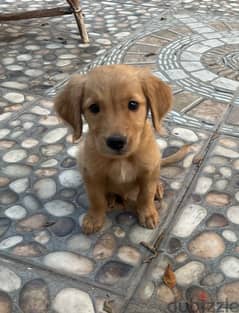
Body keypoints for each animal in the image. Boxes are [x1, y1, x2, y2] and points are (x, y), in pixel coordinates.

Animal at [55, 64, 176, 233]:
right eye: (94, 108)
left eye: (133, 104)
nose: (116, 142)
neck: (121, 160)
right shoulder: (92, 175)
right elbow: (96, 199)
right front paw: (94, 218)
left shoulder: (148, 170)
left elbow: (145, 195)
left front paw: (147, 214)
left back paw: (157, 188)